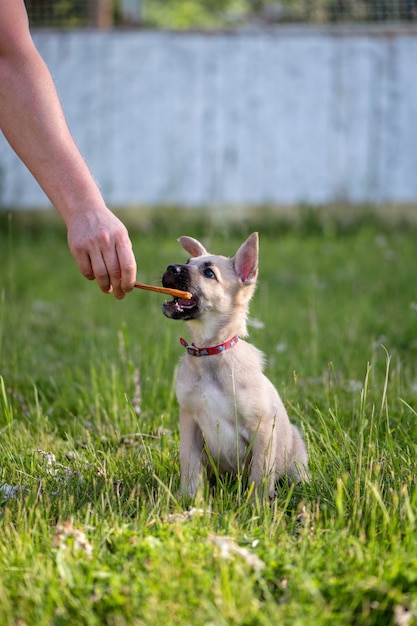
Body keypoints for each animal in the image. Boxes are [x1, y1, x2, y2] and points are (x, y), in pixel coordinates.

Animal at [161, 230, 308, 498]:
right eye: (187, 262)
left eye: (209, 273)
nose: (171, 267)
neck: (210, 352)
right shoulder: (190, 422)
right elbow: (189, 465)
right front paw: (187, 498)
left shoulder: (262, 428)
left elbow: (260, 474)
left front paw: (257, 504)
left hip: (295, 452)